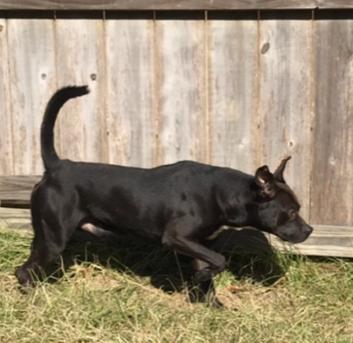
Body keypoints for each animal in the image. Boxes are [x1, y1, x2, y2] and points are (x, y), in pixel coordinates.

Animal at [15, 86, 312, 292]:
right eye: (291, 212)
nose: (309, 230)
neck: (222, 194)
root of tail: (57, 166)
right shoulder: (176, 238)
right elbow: (219, 260)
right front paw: (204, 277)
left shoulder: (196, 243)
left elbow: (209, 270)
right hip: (54, 238)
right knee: (23, 271)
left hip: (46, 234)